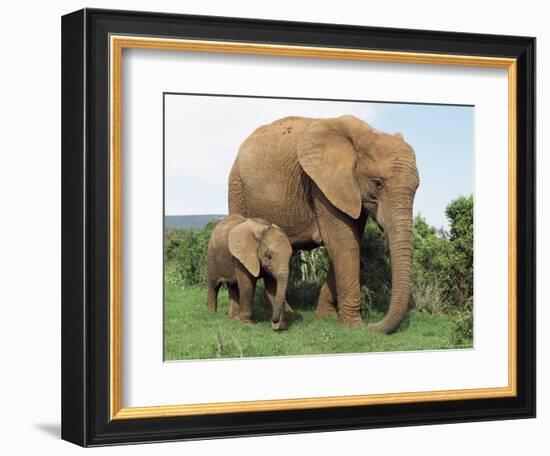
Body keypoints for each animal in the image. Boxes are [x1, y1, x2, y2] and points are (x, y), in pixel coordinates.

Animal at [229, 116, 422, 334]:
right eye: (377, 183)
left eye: (417, 187)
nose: (372, 326)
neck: (364, 135)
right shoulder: (322, 186)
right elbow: (343, 244)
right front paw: (353, 326)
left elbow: (350, 243)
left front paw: (325, 316)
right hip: (237, 187)